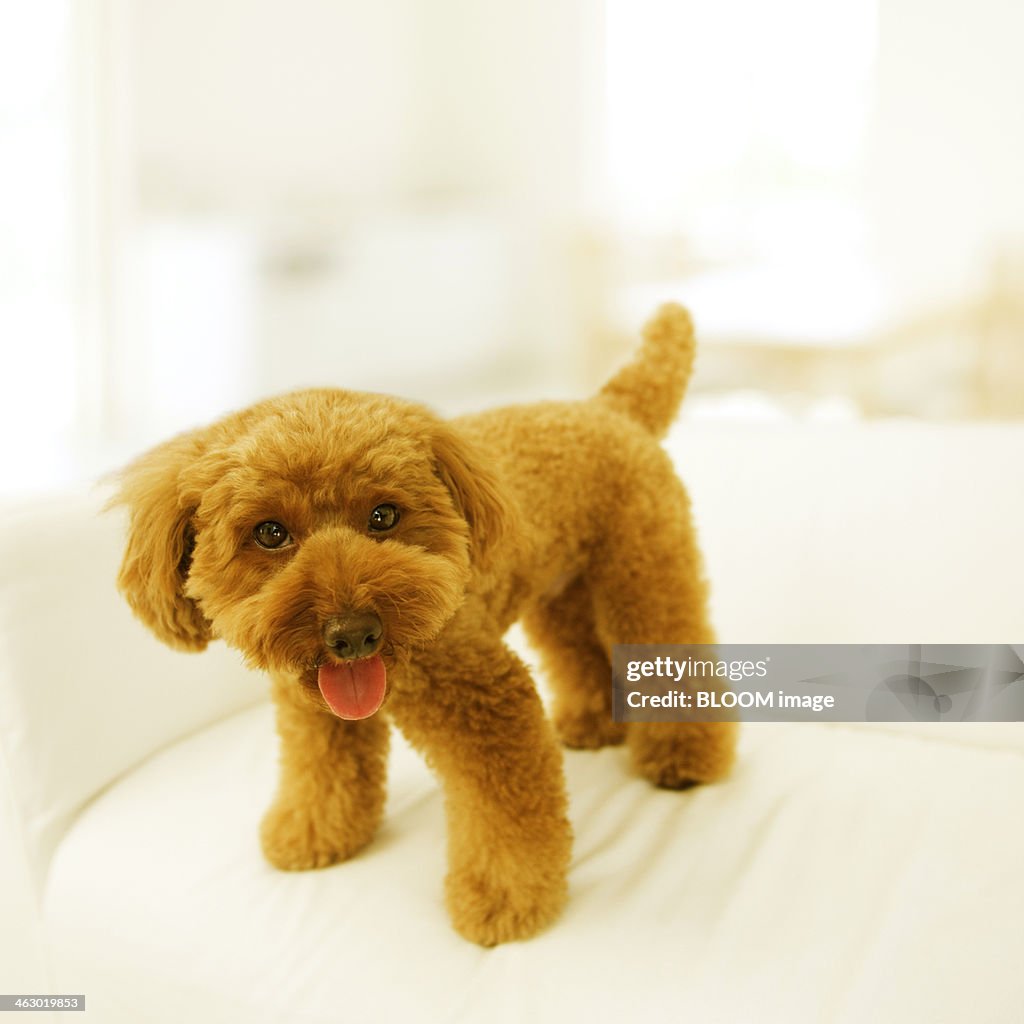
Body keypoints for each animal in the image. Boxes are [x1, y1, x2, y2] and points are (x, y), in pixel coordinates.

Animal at [112, 303, 737, 942]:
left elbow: (506, 816)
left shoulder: (489, 704)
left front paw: (505, 898)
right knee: (578, 648)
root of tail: (608, 407)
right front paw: (313, 834)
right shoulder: (316, 714)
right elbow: (323, 774)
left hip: (644, 572)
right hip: (561, 588)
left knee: (673, 645)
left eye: (384, 516)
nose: (352, 633)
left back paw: (684, 758)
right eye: (269, 532)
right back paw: (593, 723)